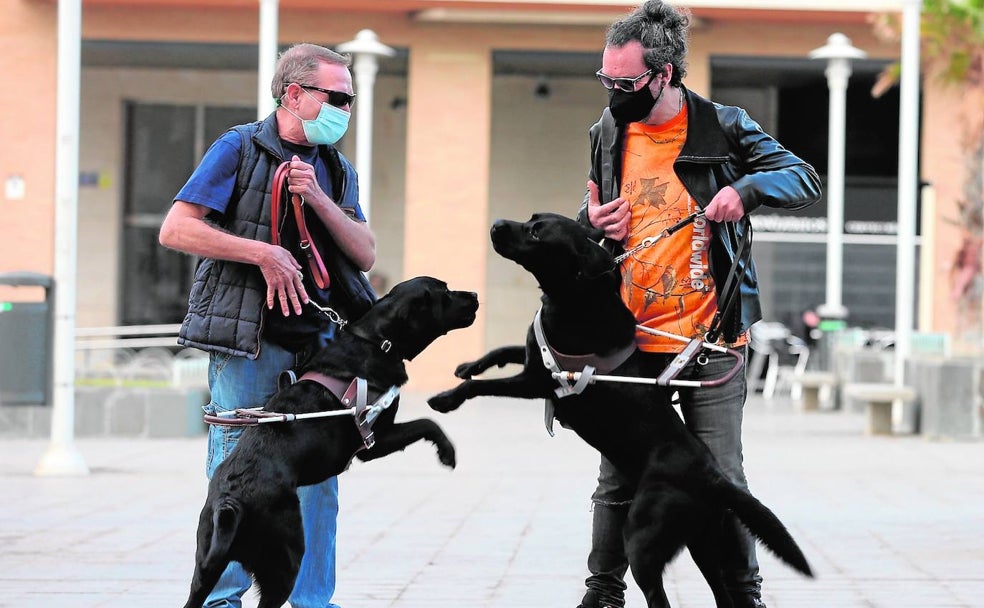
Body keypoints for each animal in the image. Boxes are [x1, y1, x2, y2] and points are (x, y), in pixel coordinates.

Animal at [184, 276, 480, 608]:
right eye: (445, 292)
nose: (474, 295)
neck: (376, 342)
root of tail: (230, 501)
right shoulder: (375, 439)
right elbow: (428, 423)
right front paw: (447, 453)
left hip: (205, 565)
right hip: (286, 558)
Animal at [426, 215, 812, 608]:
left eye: (536, 231)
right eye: (531, 220)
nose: (497, 223)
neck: (576, 294)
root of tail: (714, 476)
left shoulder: (538, 381)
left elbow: (483, 386)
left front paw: (447, 398)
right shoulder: (535, 357)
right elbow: (502, 350)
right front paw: (468, 365)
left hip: (643, 541)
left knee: (660, 597)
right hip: (701, 542)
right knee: (721, 594)